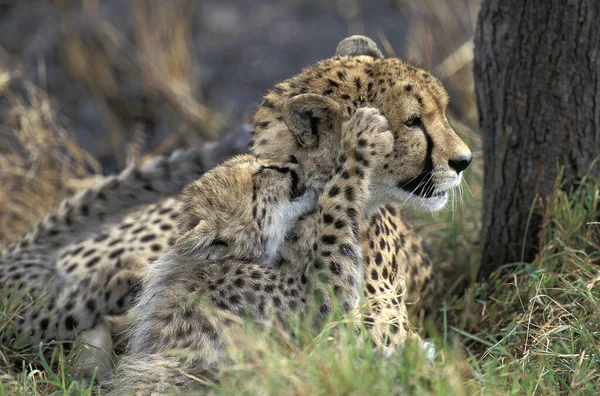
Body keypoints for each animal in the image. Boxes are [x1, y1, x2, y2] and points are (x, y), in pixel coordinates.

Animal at [105, 106, 392, 394]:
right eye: (260, 174)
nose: (291, 158)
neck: (224, 261)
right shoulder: (313, 305)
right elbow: (336, 208)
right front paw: (361, 137)